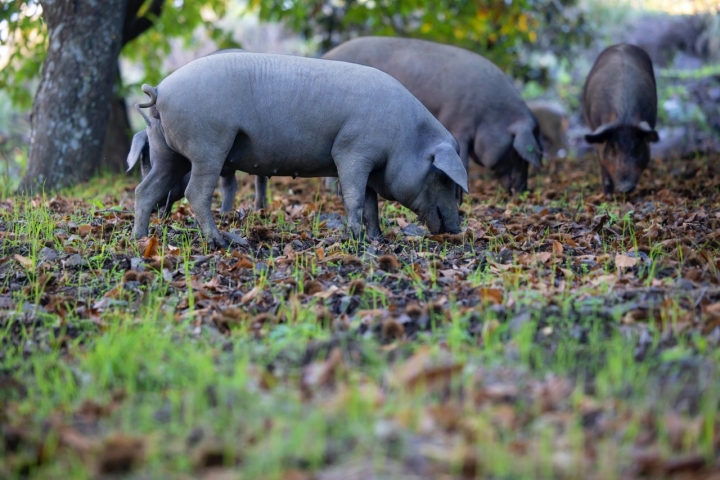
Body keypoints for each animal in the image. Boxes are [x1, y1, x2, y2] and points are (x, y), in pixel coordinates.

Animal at [129, 52, 468, 248]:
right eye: (443, 178)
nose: (456, 230)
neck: (405, 138)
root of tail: (160, 90)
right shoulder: (353, 151)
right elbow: (355, 198)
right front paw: (356, 239)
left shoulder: (372, 166)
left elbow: (372, 204)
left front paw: (377, 238)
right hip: (208, 146)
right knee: (196, 193)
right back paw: (220, 242)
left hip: (165, 152)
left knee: (144, 190)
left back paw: (141, 239)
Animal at [322, 37, 543, 195]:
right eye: (516, 153)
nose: (523, 191)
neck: (489, 114)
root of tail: (326, 55)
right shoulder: (458, 125)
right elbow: (463, 161)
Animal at [583, 44, 660, 194]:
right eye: (612, 147)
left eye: (637, 146)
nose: (625, 188)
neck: (624, 117)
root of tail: (622, 45)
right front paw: (608, 195)